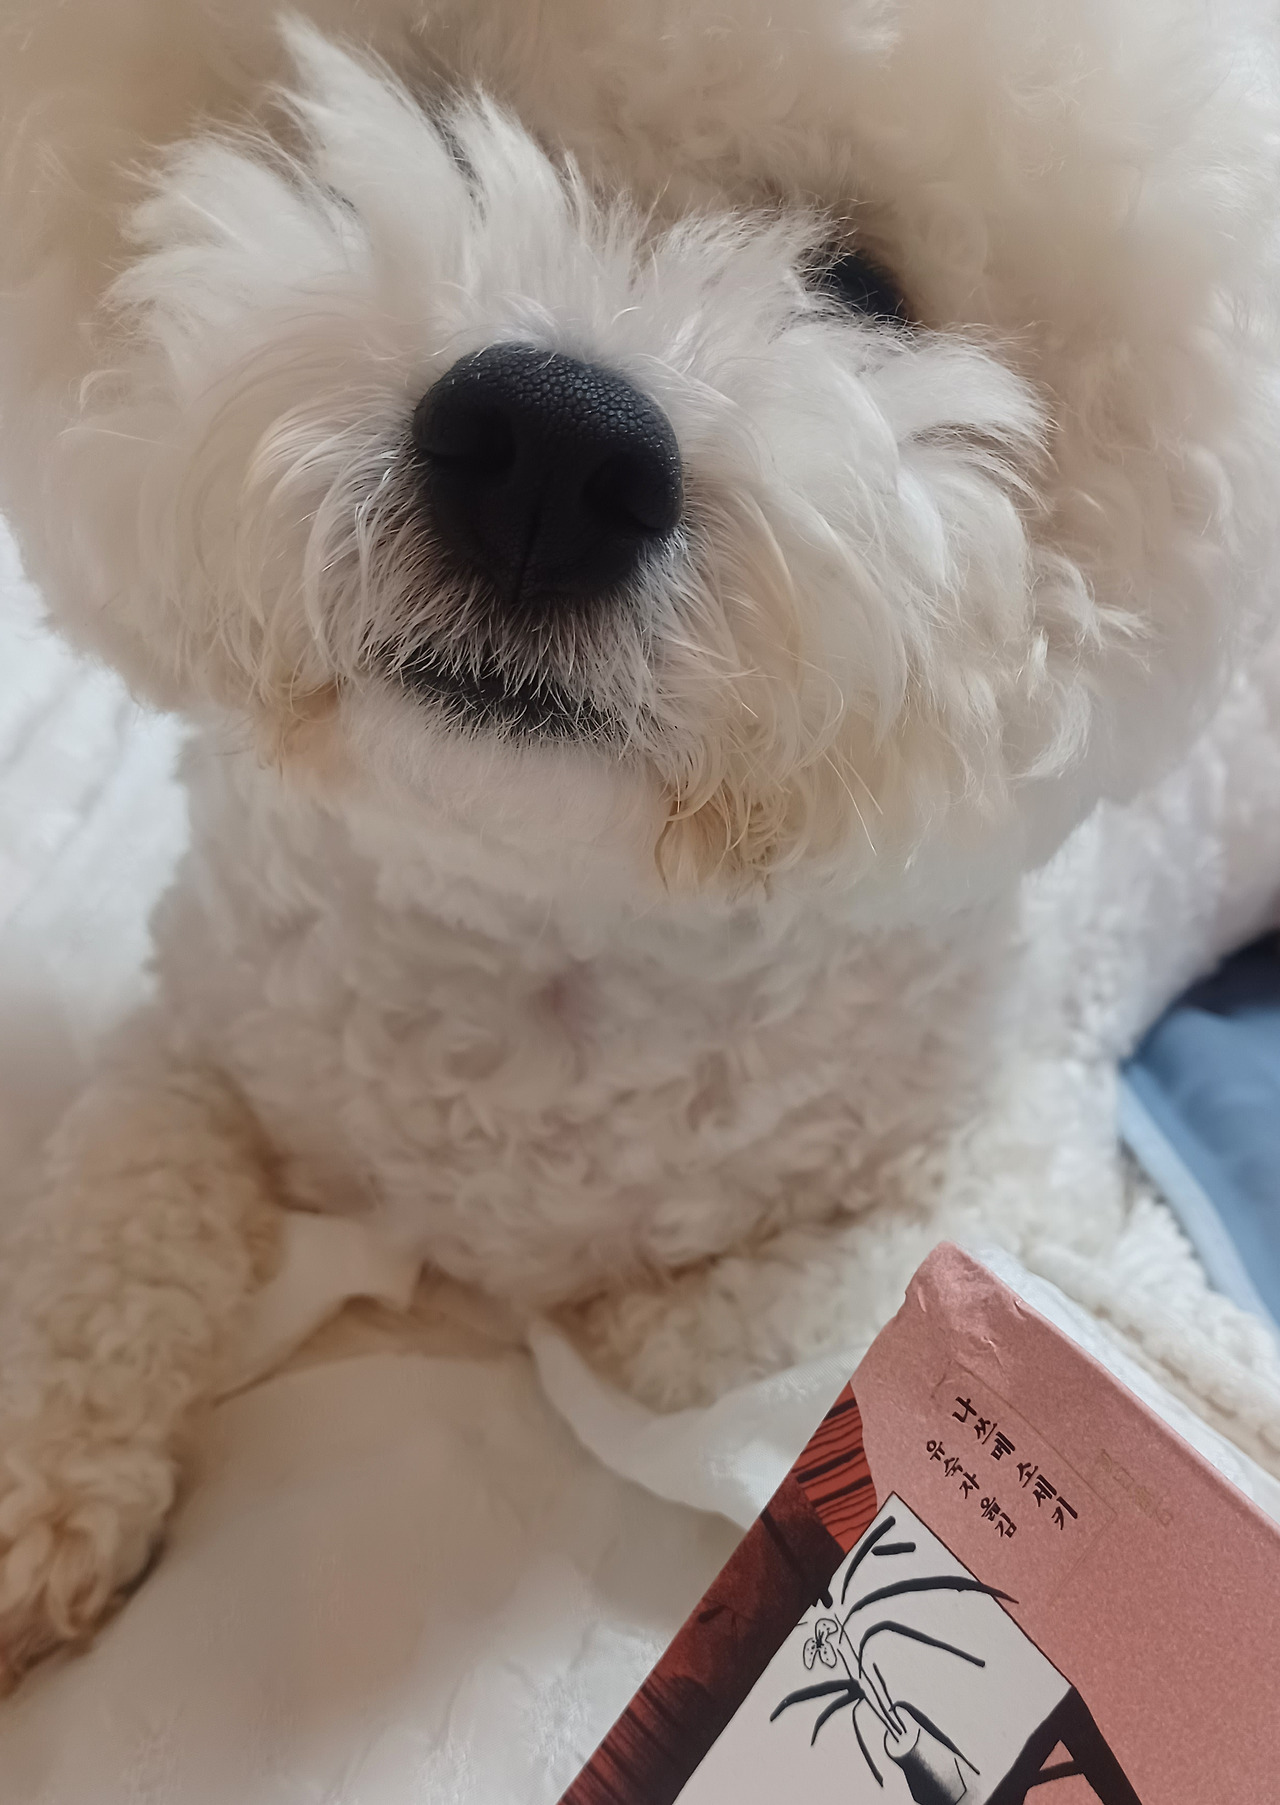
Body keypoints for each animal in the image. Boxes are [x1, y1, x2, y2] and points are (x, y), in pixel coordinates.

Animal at [0, 0, 1278, 1682]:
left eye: (862, 287)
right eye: (435, 114)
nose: (552, 447)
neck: (549, 911)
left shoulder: (1017, 1188)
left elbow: (730, 1323)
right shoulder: (198, 1030)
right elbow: (116, 1193)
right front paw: (38, 1480)